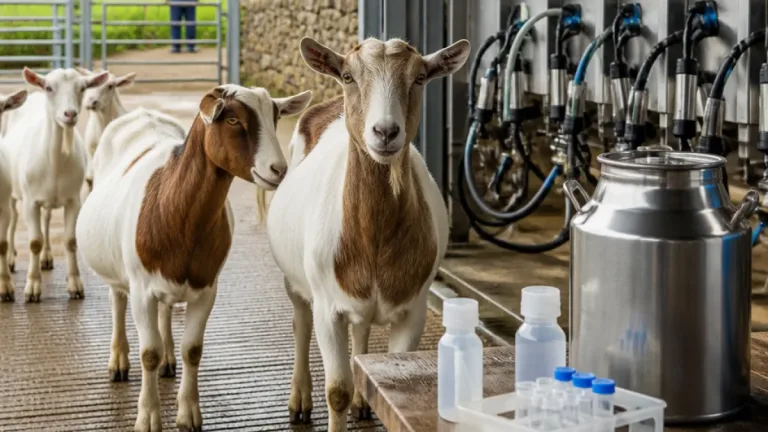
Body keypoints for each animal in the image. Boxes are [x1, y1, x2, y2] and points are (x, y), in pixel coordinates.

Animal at [1, 67, 108, 302]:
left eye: (82, 88)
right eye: (49, 88)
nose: (70, 114)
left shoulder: (73, 200)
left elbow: (70, 241)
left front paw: (75, 285)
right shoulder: (30, 202)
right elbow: (34, 242)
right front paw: (32, 288)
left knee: (47, 219)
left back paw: (47, 258)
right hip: (13, 194)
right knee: (13, 219)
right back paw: (12, 259)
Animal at [76, 85, 312, 432]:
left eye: (276, 117)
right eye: (232, 119)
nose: (278, 170)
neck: (174, 208)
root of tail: (143, 113)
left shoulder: (206, 289)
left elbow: (193, 350)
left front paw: (188, 414)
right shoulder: (141, 290)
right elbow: (148, 353)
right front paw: (148, 416)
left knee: (165, 311)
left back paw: (168, 360)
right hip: (120, 271)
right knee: (117, 301)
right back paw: (118, 362)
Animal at [266, 37, 470, 431]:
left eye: (420, 77)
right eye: (348, 75)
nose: (385, 132)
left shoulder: (413, 310)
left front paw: (365, 398)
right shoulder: (327, 308)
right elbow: (337, 391)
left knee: (360, 331)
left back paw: (362, 401)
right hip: (294, 278)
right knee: (300, 322)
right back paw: (299, 400)